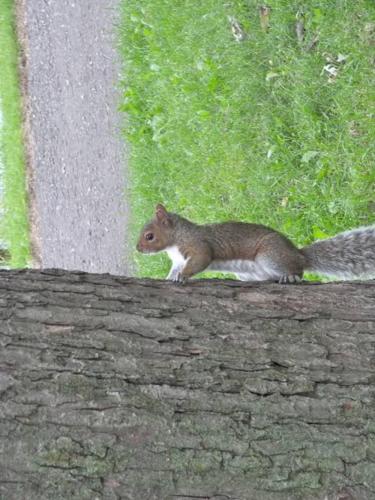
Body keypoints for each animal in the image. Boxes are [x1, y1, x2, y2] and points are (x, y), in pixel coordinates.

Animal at [137, 202, 375, 282]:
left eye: (149, 236)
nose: (137, 249)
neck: (175, 240)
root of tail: (299, 254)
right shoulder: (177, 260)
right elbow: (174, 269)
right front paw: (169, 278)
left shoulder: (197, 245)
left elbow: (201, 260)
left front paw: (183, 277)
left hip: (270, 255)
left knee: (298, 271)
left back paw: (292, 276)